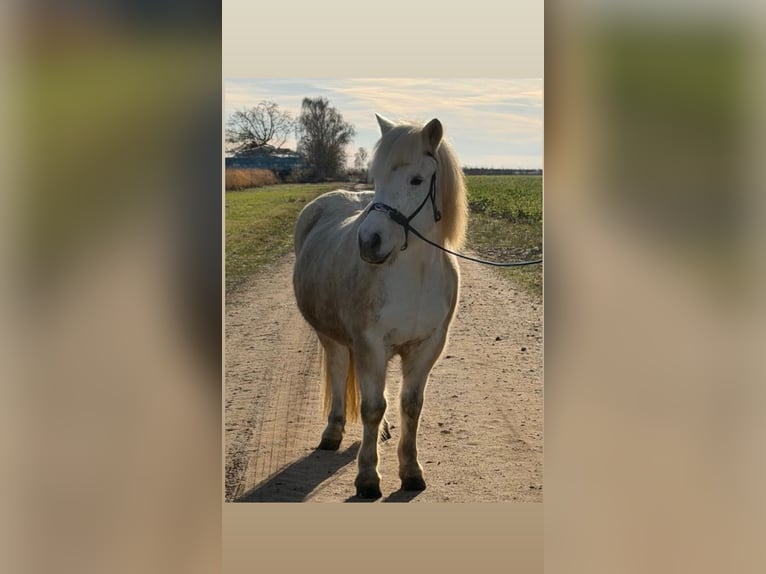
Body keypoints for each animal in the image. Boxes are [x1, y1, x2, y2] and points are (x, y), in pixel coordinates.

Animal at [292, 114, 467, 499]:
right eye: (379, 178)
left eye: (417, 179)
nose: (369, 242)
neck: (415, 275)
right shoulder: (370, 345)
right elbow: (372, 407)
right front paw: (368, 478)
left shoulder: (426, 348)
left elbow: (410, 405)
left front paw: (411, 471)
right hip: (331, 337)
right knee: (338, 371)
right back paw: (333, 432)